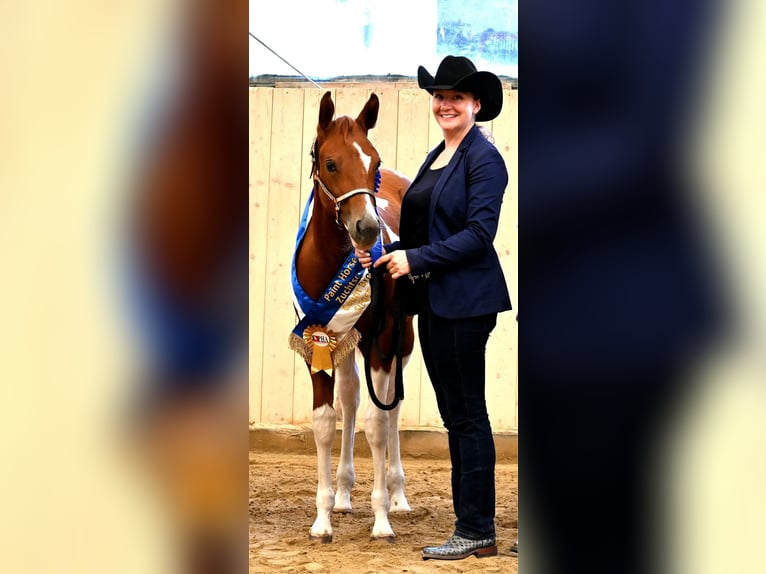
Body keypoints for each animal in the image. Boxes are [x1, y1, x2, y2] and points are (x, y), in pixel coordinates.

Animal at [289, 91, 415, 542]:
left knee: (392, 407)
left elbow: (377, 424)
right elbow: (326, 421)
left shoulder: (382, 337)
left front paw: (381, 519)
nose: (367, 228)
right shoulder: (317, 340)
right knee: (350, 396)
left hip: (401, 340)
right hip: (345, 341)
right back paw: (344, 494)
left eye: (374, 163)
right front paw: (323, 518)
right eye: (330, 163)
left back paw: (397, 496)